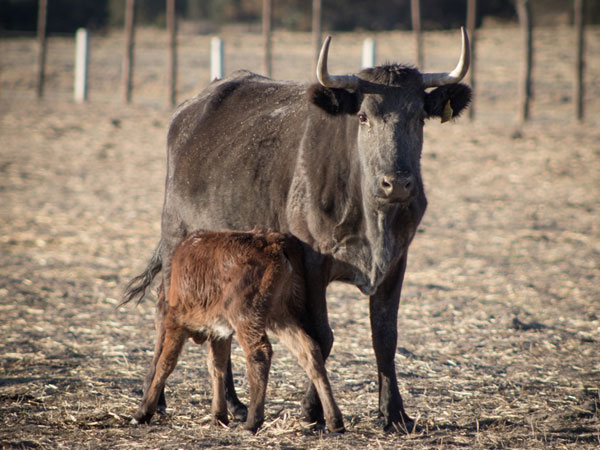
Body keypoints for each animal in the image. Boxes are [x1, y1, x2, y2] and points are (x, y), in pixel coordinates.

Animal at [129, 230, 344, 434]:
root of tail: (275, 243)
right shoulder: (219, 330)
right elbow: (216, 365)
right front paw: (219, 415)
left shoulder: (176, 321)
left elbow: (166, 363)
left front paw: (143, 412)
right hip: (281, 314)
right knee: (309, 350)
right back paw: (335, 420)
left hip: (247, 314)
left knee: (259, 353)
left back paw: (253, 422)